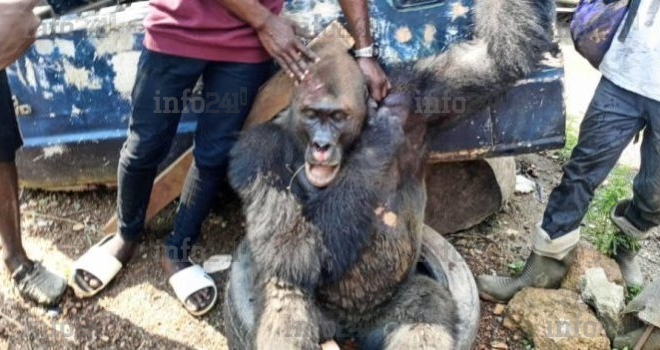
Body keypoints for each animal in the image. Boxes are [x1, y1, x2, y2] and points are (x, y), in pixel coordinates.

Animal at [227, 1, 556, 348]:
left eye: (338, 117)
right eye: (311, 114)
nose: (321, 144)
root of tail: (352, 329)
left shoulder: (418, 95)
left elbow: (496, 60)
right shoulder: (258, 150)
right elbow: (291, 245)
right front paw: (380, 136)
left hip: (387, 312)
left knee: (425, 303)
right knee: (286, 289)